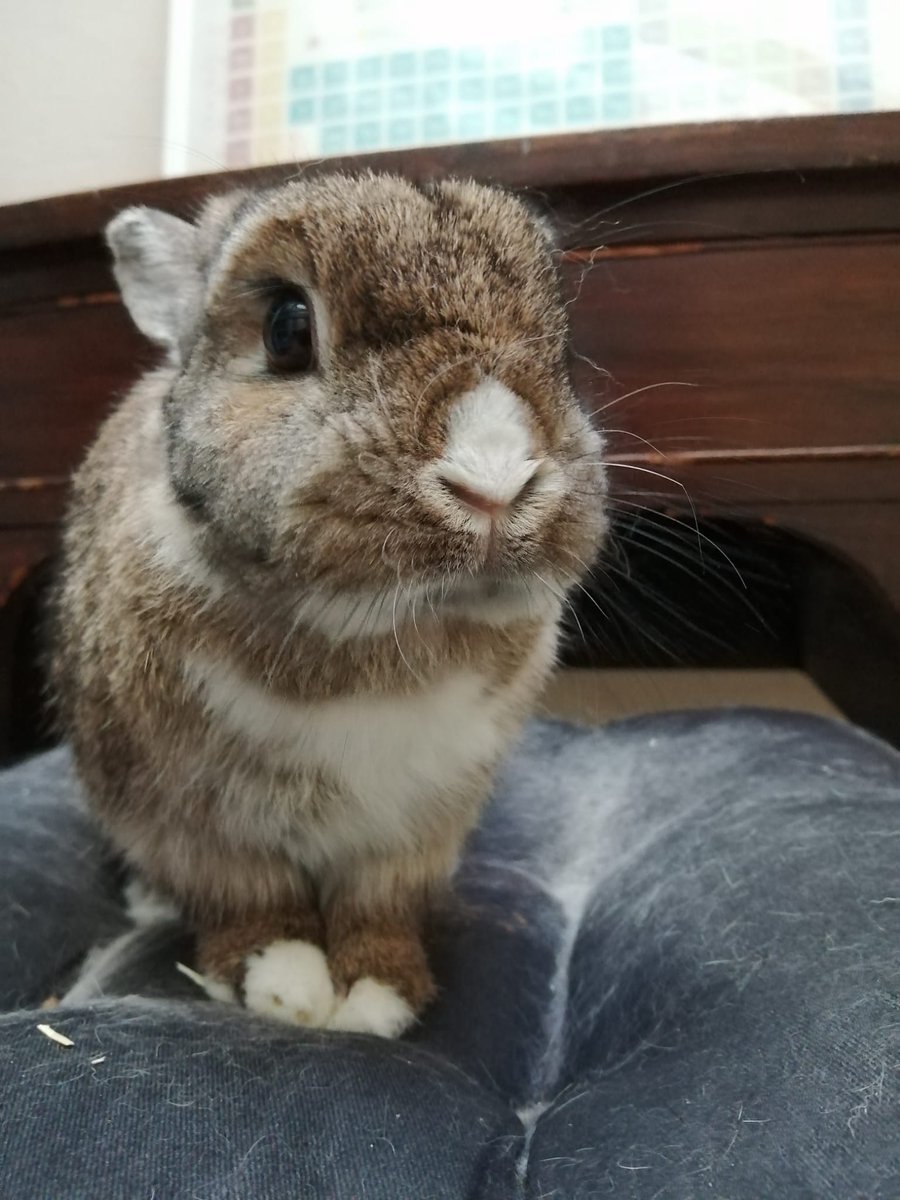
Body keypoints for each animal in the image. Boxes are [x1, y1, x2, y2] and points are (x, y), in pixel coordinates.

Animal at [48, 172, 607, 1037]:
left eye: (565, 348)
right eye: (286, 328)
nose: (495, 482)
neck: (375, 634)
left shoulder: (411, 836)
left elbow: (376, 910)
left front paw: (377, 996)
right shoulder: (195, 827)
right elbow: (251, 902)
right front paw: (280, 985)